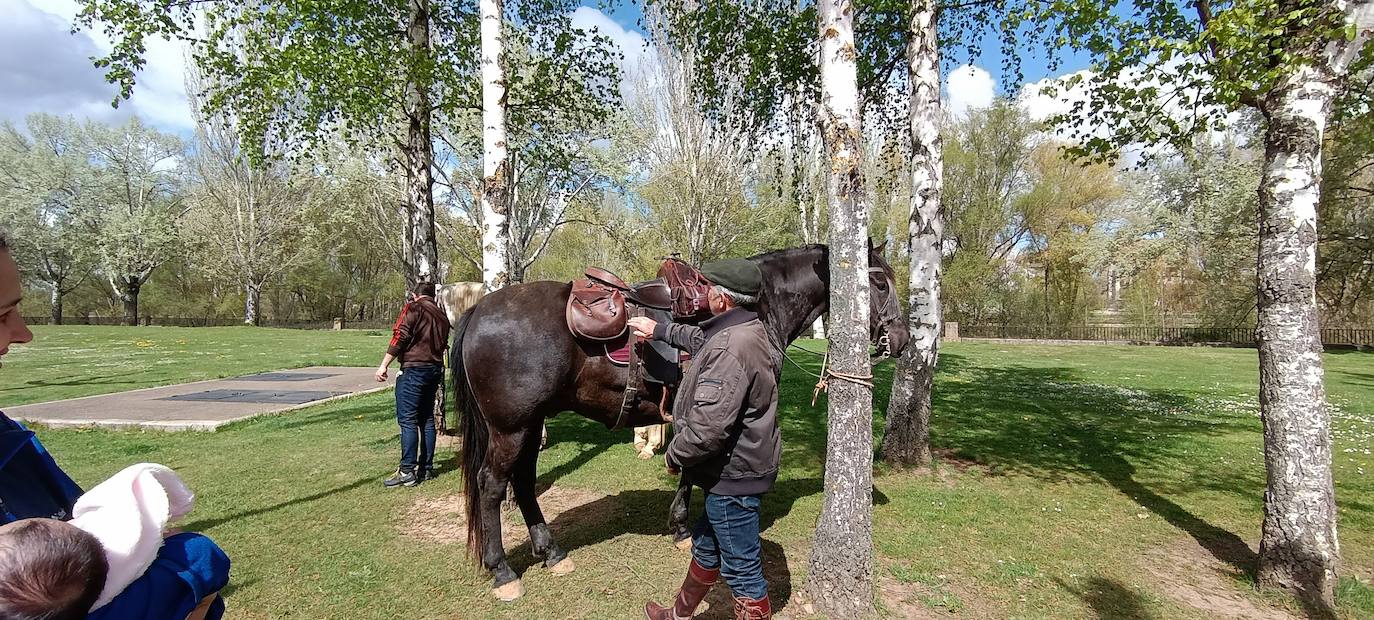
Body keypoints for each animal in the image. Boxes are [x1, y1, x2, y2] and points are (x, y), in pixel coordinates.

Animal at [450, 243, 912, 602]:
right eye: (879, 283)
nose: (902, 338)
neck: (758, 308)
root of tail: (479, 310)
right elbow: (695, 468)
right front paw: (683, 527)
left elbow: (690, 467)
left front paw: (679, 525)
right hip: (511, 427)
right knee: (492, 485)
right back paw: (503, 571)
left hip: (531, 424)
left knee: (524, 481)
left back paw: (551, 552)